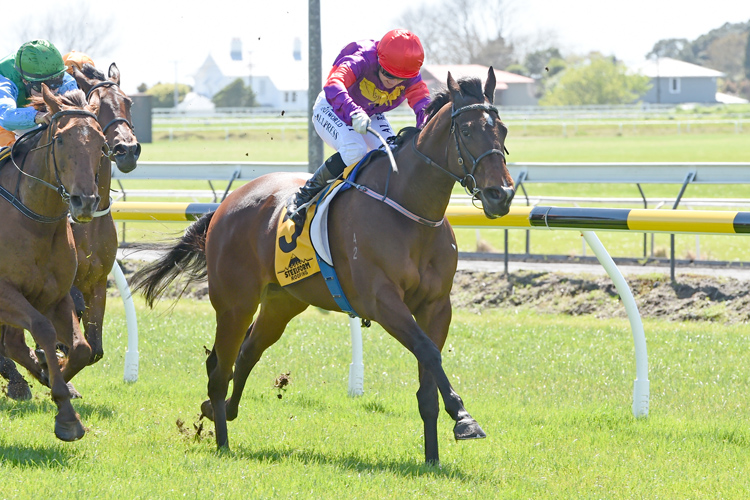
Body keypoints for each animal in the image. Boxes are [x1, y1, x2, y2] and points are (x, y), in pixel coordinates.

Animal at [0, 87, 105, 442]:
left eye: (101, 142)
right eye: (60, 140)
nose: (85, 202)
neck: (35, 222)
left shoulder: (55, 295)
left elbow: (82, 348)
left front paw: (55, 377)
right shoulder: (5, 293)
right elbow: (42, 329)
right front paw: (67, 417)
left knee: (14, 344)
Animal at [131, 68, 516, 462]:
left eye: (502, 130)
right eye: (466, 131)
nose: (501, 194)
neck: (411, 210)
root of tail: (223, 206)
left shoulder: (437, 306)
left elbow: (428, 379)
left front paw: (434, 457)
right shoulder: (381, 301)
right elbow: (427, 351)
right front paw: (464, 417)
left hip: (282, 302)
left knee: (247, 351)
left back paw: (217, 411)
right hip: (234, 303)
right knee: (220, 369)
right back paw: (222, 439)